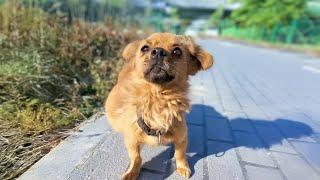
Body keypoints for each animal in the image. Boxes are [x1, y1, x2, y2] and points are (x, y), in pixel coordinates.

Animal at [105, 33, 214, 179]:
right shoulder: (132, 140)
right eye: (144, 48)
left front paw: (183, 167)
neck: (158, 98)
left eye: (177, 51)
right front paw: (132, 172)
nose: (158, 52)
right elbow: (136, 157)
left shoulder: (182, 137)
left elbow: (180, 154)